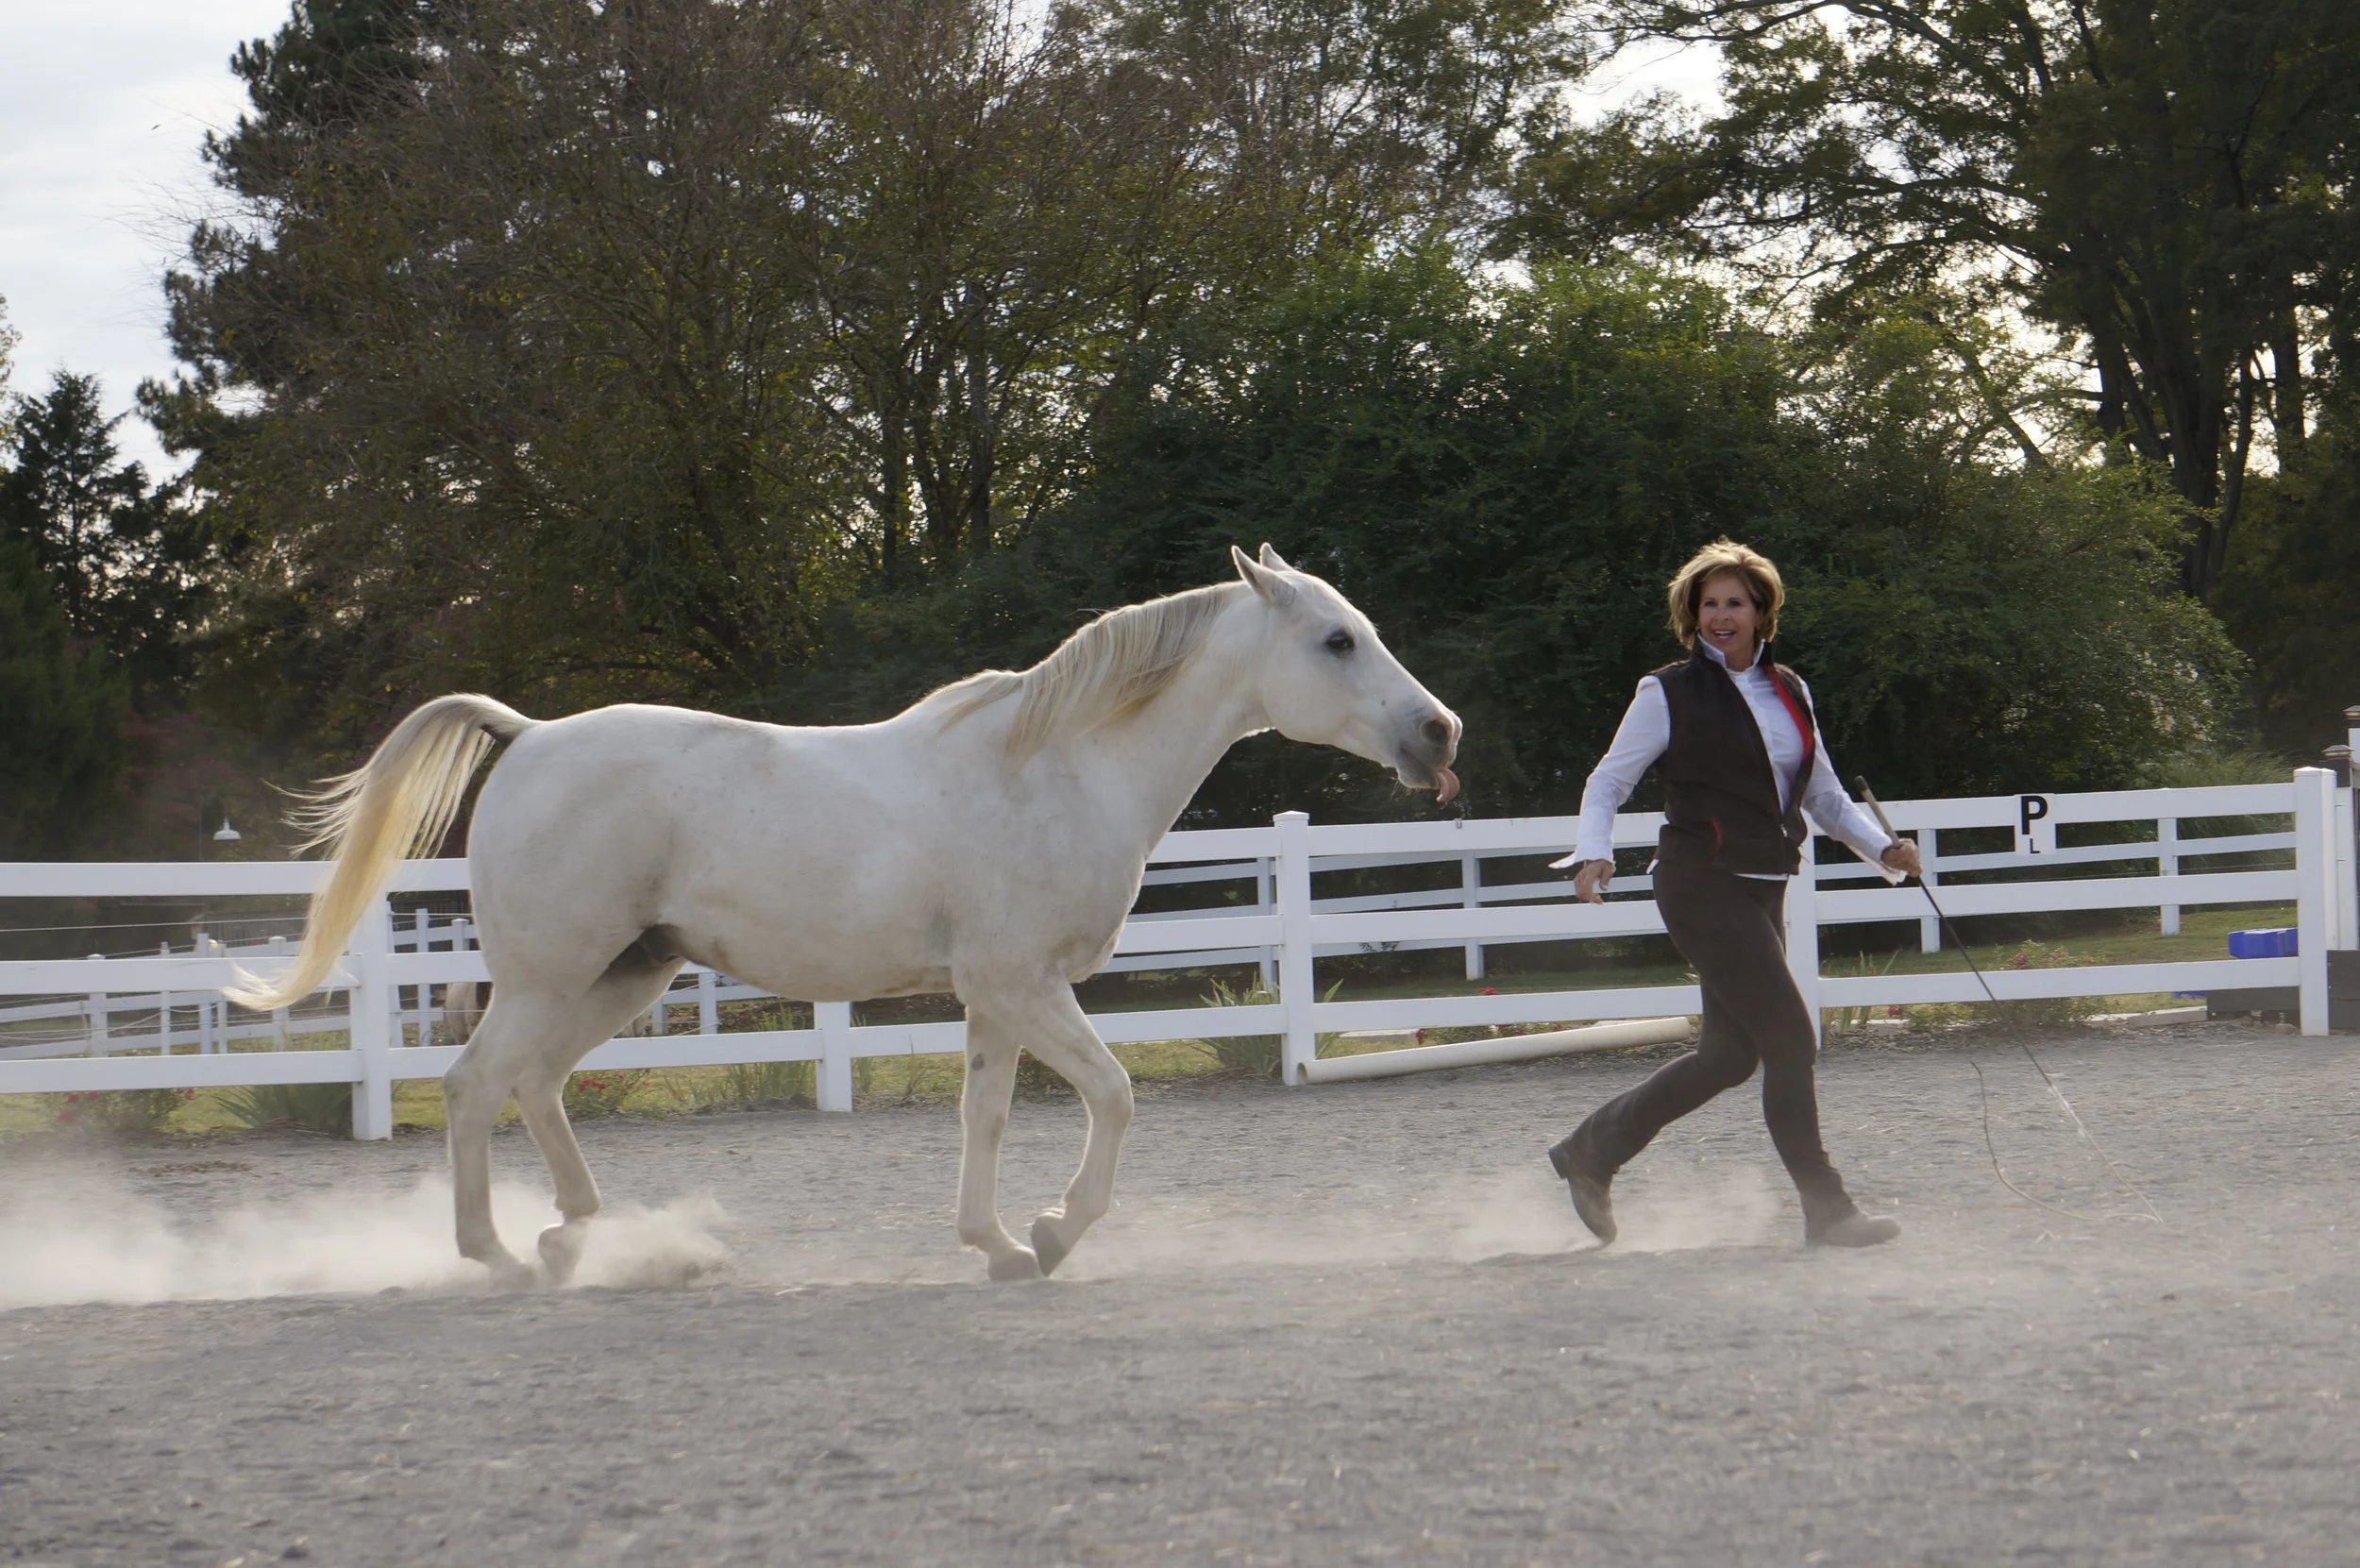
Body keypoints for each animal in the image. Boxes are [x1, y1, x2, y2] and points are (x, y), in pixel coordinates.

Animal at [231, 546, 1460, 1287]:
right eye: (1337, 640)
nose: (1439, 733)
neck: (1055, 770)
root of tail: (526, 733)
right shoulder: (1024, 985)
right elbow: (1112, 1095)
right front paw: (1053, 1230)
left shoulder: (994, 999)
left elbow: (985, 1118)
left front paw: (996, 1242)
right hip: (549, 974)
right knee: (474, 1084)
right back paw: (502, 1252)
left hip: (626, 973)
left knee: (533, 1085)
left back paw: (573, 1229)